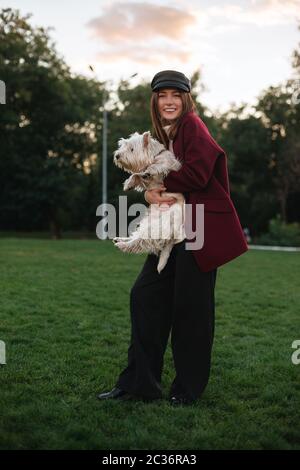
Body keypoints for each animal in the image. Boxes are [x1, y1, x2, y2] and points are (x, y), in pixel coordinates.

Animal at [112, 130, 185, 274]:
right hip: (148, 222)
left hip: (158, 226)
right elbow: (136, 175)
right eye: (123, 146)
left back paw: (123, 245)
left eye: (132, 149)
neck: (154, 156)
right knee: (137, 236)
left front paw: (150, 169)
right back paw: (120, 239)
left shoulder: (171, 166)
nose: (117, 155)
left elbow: (157, 166)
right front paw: (129, 184)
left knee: (141, 242)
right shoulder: (145, 180)